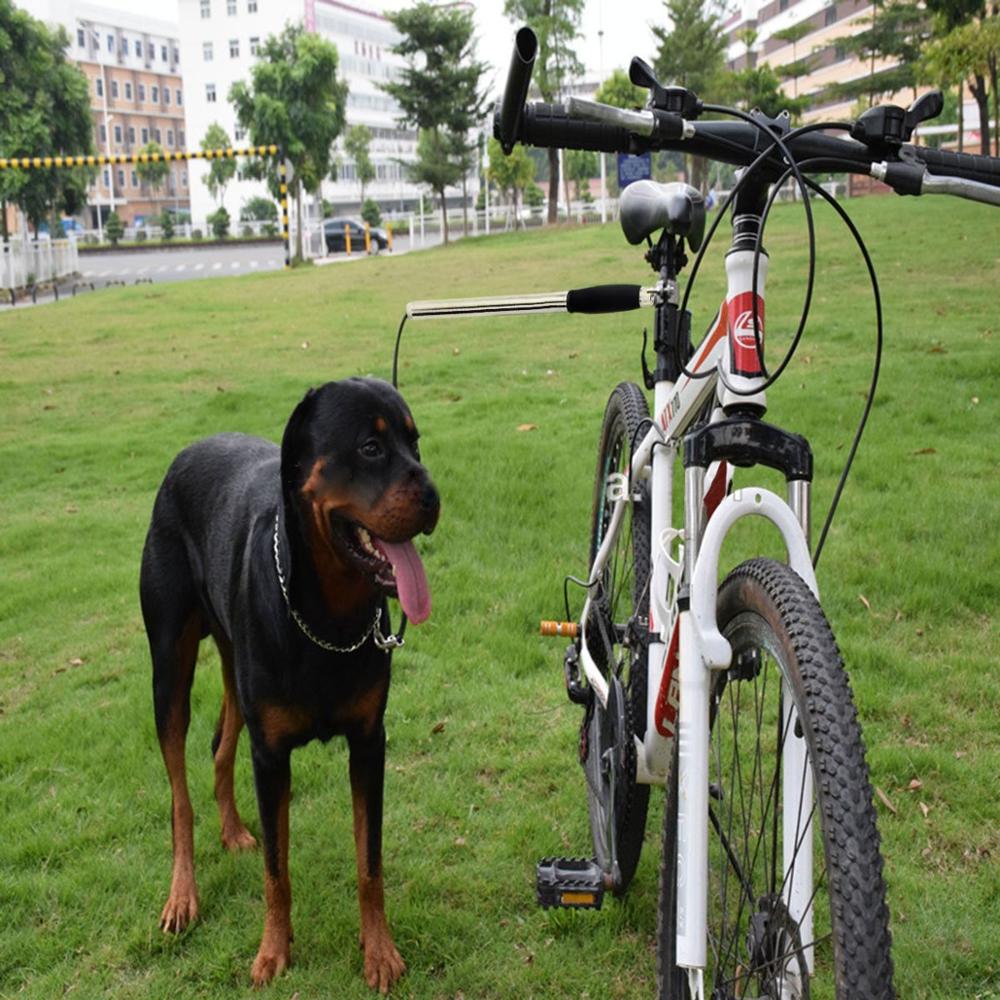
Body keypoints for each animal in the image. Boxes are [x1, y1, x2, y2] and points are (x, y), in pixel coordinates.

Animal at [140, 376, 438, 992]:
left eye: (415, 443)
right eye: (370, 448)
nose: (434, 497)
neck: (328, 619)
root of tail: (187, 452)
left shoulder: (369, 743)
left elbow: (369, 861)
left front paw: (379, 950)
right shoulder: (272, 754)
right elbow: (277, 870)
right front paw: (273, 951)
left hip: (234, 660)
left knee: (221, 743)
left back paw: (232, 830)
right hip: (169, 668)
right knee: (179, 792)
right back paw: (183, 894)